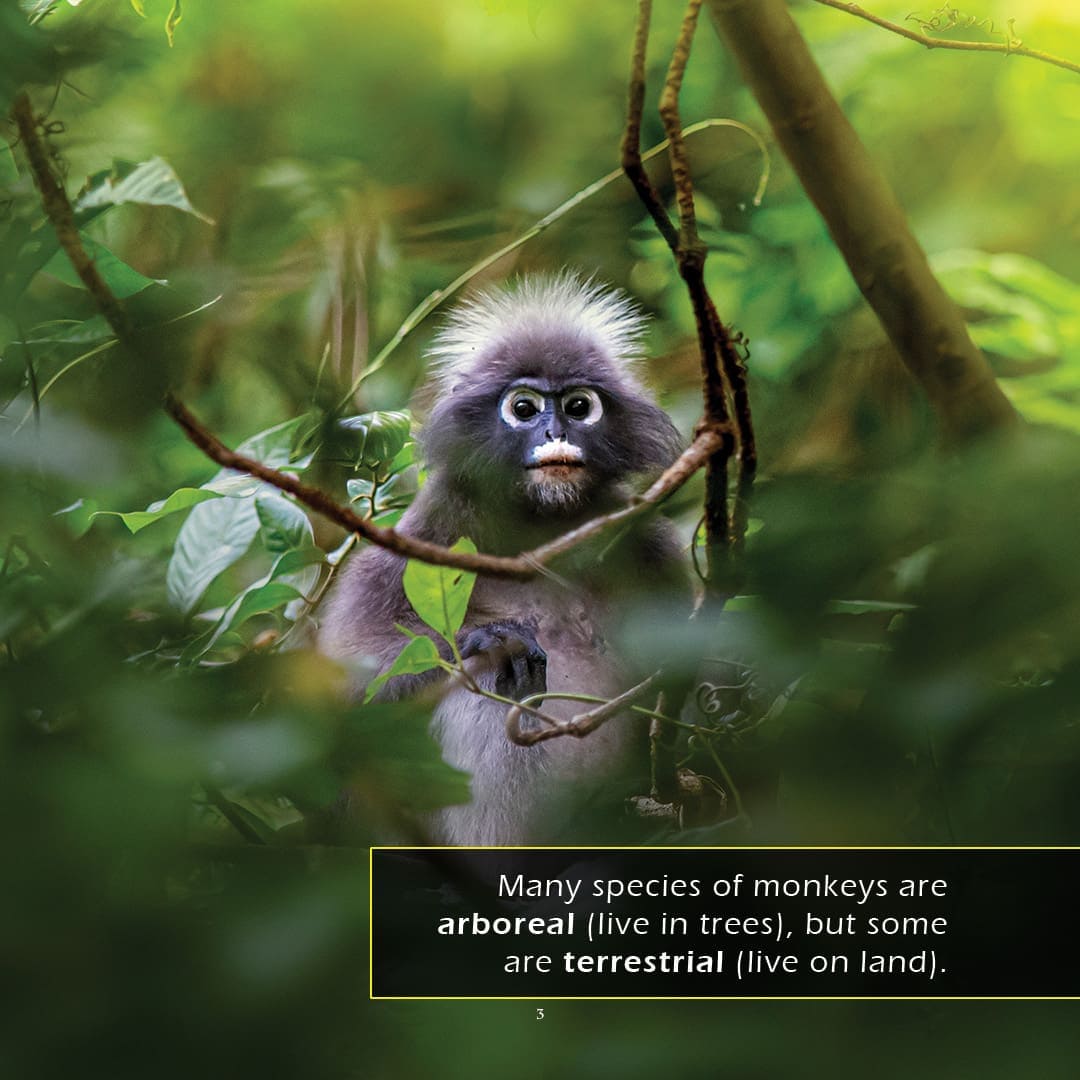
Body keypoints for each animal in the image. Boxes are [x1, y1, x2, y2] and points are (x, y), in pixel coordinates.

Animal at [318, 272, 686, 845]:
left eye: (579, 407)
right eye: (524, 408)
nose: (556, 434)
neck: (539, 524)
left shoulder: (645, 541)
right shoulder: (428, 531)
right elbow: (346, 689)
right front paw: (487, 636)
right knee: (497, 676)